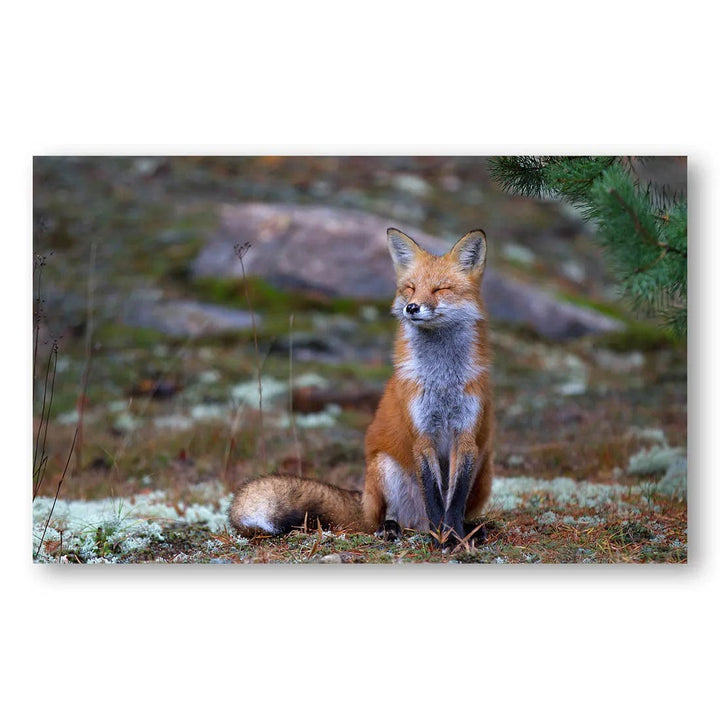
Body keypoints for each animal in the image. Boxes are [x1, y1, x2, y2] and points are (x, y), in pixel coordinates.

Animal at [228, 228, 492, 548]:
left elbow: (453, 501)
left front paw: (454, 537)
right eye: (410, 288)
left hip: (483, 467)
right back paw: (395, 528)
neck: (441, 380)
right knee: (388, 519)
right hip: (384, 467)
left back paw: (471, 529)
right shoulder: (421, 435)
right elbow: (434, 497)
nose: (412, 307)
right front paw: (442, 537)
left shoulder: (466, 436)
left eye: (441, 289)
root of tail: (364, 499)